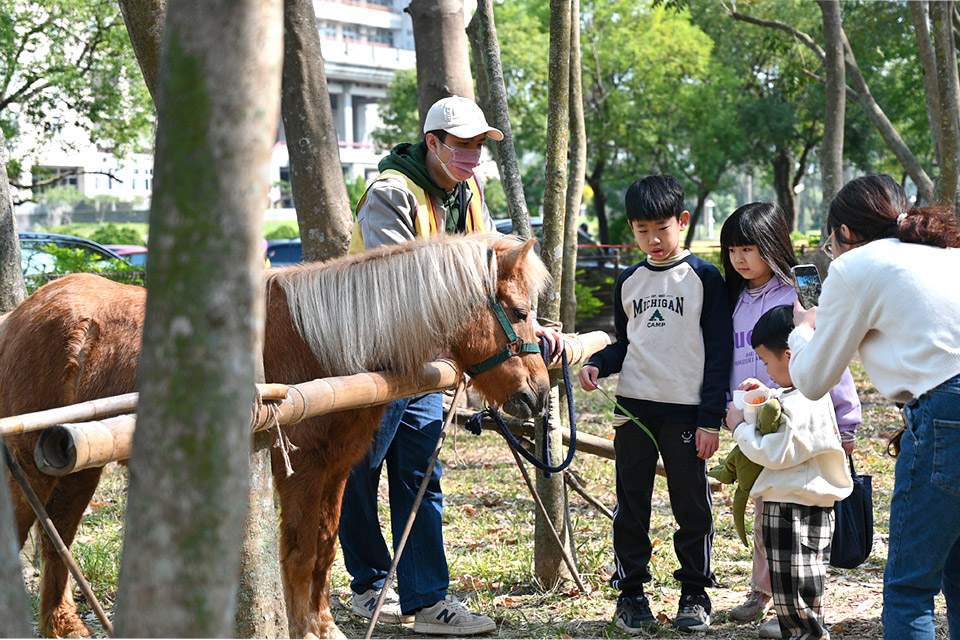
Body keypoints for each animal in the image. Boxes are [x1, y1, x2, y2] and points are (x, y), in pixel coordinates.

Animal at [0, 232, 552, 636]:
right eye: (519, 312)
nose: (539, 396)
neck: (326, 344)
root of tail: (20, 316)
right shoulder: (301, 471)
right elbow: (301, 553)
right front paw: (304, 629)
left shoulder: (335, 468)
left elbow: (325, 548)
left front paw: (324, 627)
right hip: (29, 466)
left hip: (79, 469)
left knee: (57, 538)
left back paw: (65, 626)